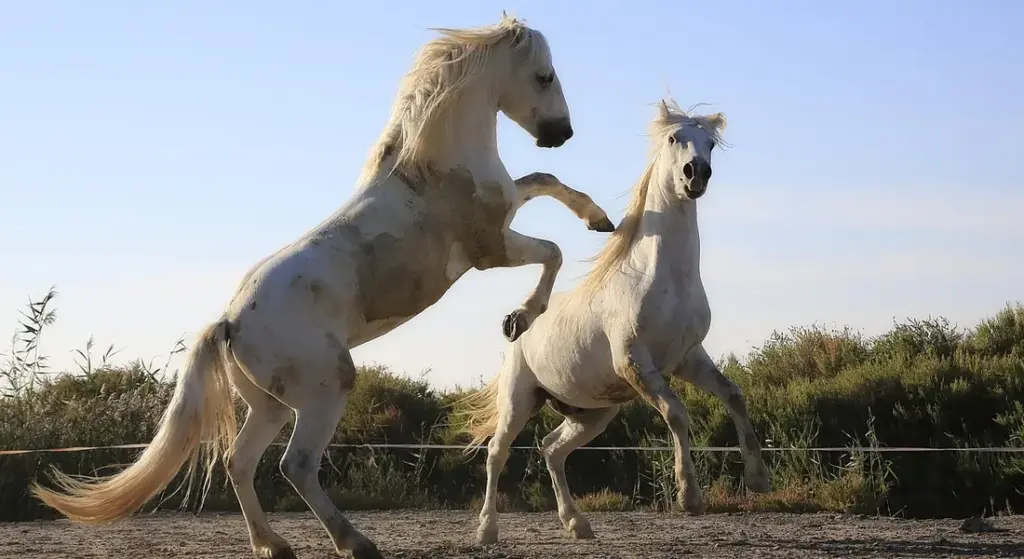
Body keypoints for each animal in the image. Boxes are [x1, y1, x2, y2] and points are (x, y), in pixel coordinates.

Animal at [30, 14, 615, 559]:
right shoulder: (489, 250)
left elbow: (544, 183)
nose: (560, 133)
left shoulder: (506, 212)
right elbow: (551, 250)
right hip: (326, 387)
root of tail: (230, 322)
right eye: (544, 75)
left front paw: (600, 221)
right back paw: (354, 541)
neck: (432, 168)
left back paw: (273, 545)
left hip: (269, 405)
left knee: (239, 462)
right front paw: (521, 317)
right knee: (296, 465)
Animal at [455, 98, 773, 545]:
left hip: (592, 412)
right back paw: (487, 531)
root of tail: (518, 334)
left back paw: (577, 524)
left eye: (710, 144)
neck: (663, 278)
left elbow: (734, 396)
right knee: (496, 454)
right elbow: (677, 413)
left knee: (552, 449)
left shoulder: (688, 358)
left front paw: (759, 479)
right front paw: (689, 497)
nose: (696, 174)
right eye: (674, 139)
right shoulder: (635, 363)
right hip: (520, 399)